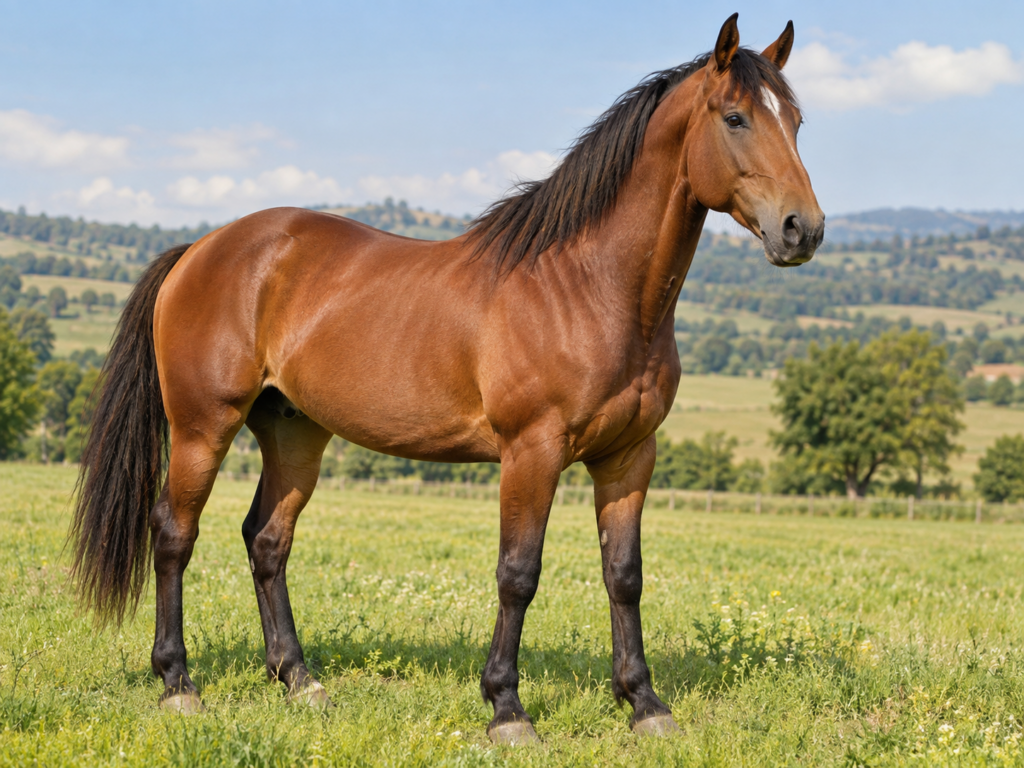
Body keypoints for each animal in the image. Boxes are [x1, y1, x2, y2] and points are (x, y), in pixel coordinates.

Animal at [69, 13, 823, 743]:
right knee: (173, 534)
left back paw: (300, 680)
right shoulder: (531, 452)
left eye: (796, 120)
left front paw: (644, 704)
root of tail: (200, 248)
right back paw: (178, 685)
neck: (588, 287)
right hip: (204, 426)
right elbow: (518, 575)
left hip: (294, 434)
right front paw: (507, 710)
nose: (803, 229)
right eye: (735, 118)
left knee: (267, 540)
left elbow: (624, 577)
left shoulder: (629, 457)